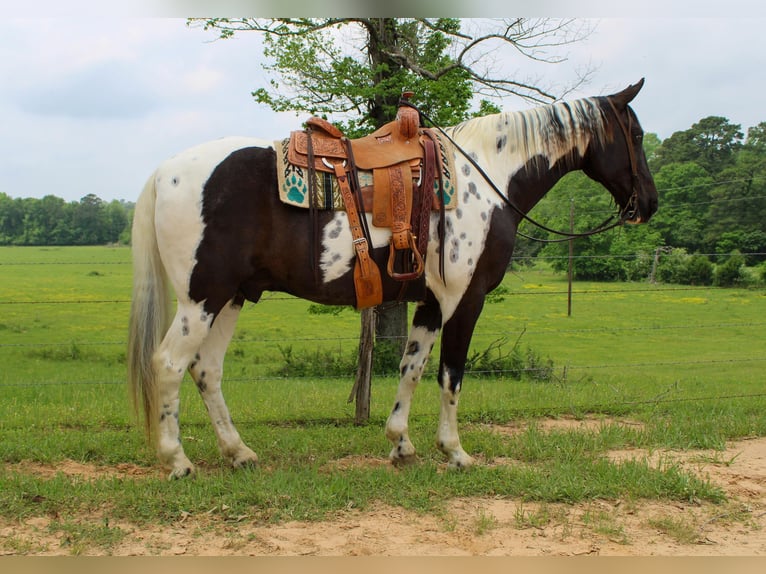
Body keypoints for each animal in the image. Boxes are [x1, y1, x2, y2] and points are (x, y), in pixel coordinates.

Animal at [127, 79, 660, 480]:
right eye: (634, 135)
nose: (649, 204)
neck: (487, 179)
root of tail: (164, 172)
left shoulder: (429, 302)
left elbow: (412, 367)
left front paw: (401, 444)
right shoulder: (465, 299)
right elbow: (450, 374)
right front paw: (455, 451)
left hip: (231, 298)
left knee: (206, 370)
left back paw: (239, 453)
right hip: (202, 298)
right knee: (170, 365)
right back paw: (178, 461)